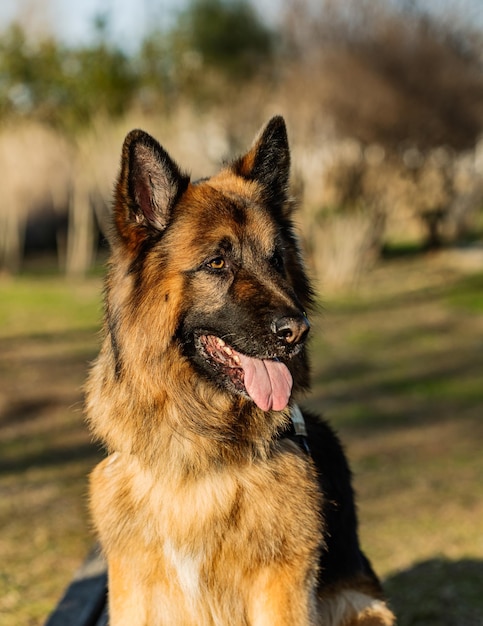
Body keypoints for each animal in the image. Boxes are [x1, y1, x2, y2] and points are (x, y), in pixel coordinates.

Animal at [87, 114, 398, 620]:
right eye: (217, 262)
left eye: (276, 259)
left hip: (360, 604)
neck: (199, 452)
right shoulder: (134, 584)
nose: (298, 331)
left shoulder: (281, 583)